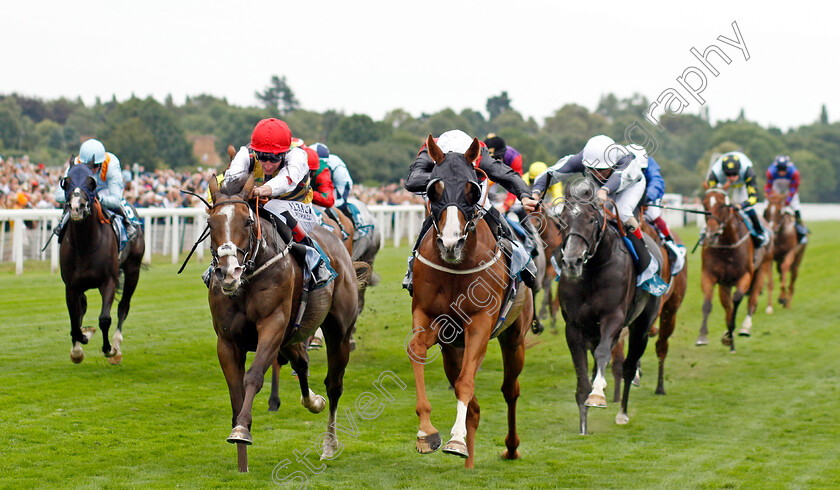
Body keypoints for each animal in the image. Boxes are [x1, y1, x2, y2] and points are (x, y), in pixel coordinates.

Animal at [60, 161, 144, 364]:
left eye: (91, 182)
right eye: (66, 182)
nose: (77, 207)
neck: (85, 245)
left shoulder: (108, 282)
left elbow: (105, 318)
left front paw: (109, 349)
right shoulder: (71, 286)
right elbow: (74, 321)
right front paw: (79, 345)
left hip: (133, 269)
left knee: (124, 306)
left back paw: (117, 345)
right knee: (82, 306)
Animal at [208, 174, 360, 472]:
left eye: (247, 221)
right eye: (210, 223)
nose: (228, 272)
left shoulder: (273, 324)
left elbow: (253, 376)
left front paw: (242, 430)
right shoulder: (227, 340)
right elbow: (235, 391)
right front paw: (241, 451)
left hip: (338, 332)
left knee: (334, 384)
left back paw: (329, 444)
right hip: (292, 335)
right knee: (302, 362)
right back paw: (312, 401)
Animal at [406, 133, 532, 468]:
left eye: (472, 188)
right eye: (433, 189)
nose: (451, 243)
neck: (456, 266)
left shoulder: (481, 322)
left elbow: (466, 383)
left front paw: (456, 440)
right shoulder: (430, 317)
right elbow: (417, 350)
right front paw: (427, 433)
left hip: (514, 337)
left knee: (510, 389)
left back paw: (510, 447)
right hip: (453, 348)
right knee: (472, 402)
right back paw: (470, 459)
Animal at [552, 180, 664, 432]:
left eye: (591, 219)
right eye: (562, 219)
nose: (571, 262)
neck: (594, 268)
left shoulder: (613, 318)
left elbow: (604, 354)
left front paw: (597, 395)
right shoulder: (573, 326)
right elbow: (581, 376)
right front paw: (583, 425)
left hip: (641, 327)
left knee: (629, 366)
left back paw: (622, 412)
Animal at [696, 188, 776, 352]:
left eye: (722, 205)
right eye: (705, 203)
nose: (712, 234)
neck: (727, 246)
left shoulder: (745, 275)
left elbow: (737, 299)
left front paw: (732, 330)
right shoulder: (709, 275)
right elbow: (708, 303)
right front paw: (703, 336)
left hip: (763, 267)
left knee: (752, 300)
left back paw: (744, 328)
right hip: (725, 284)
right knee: (727, 306)